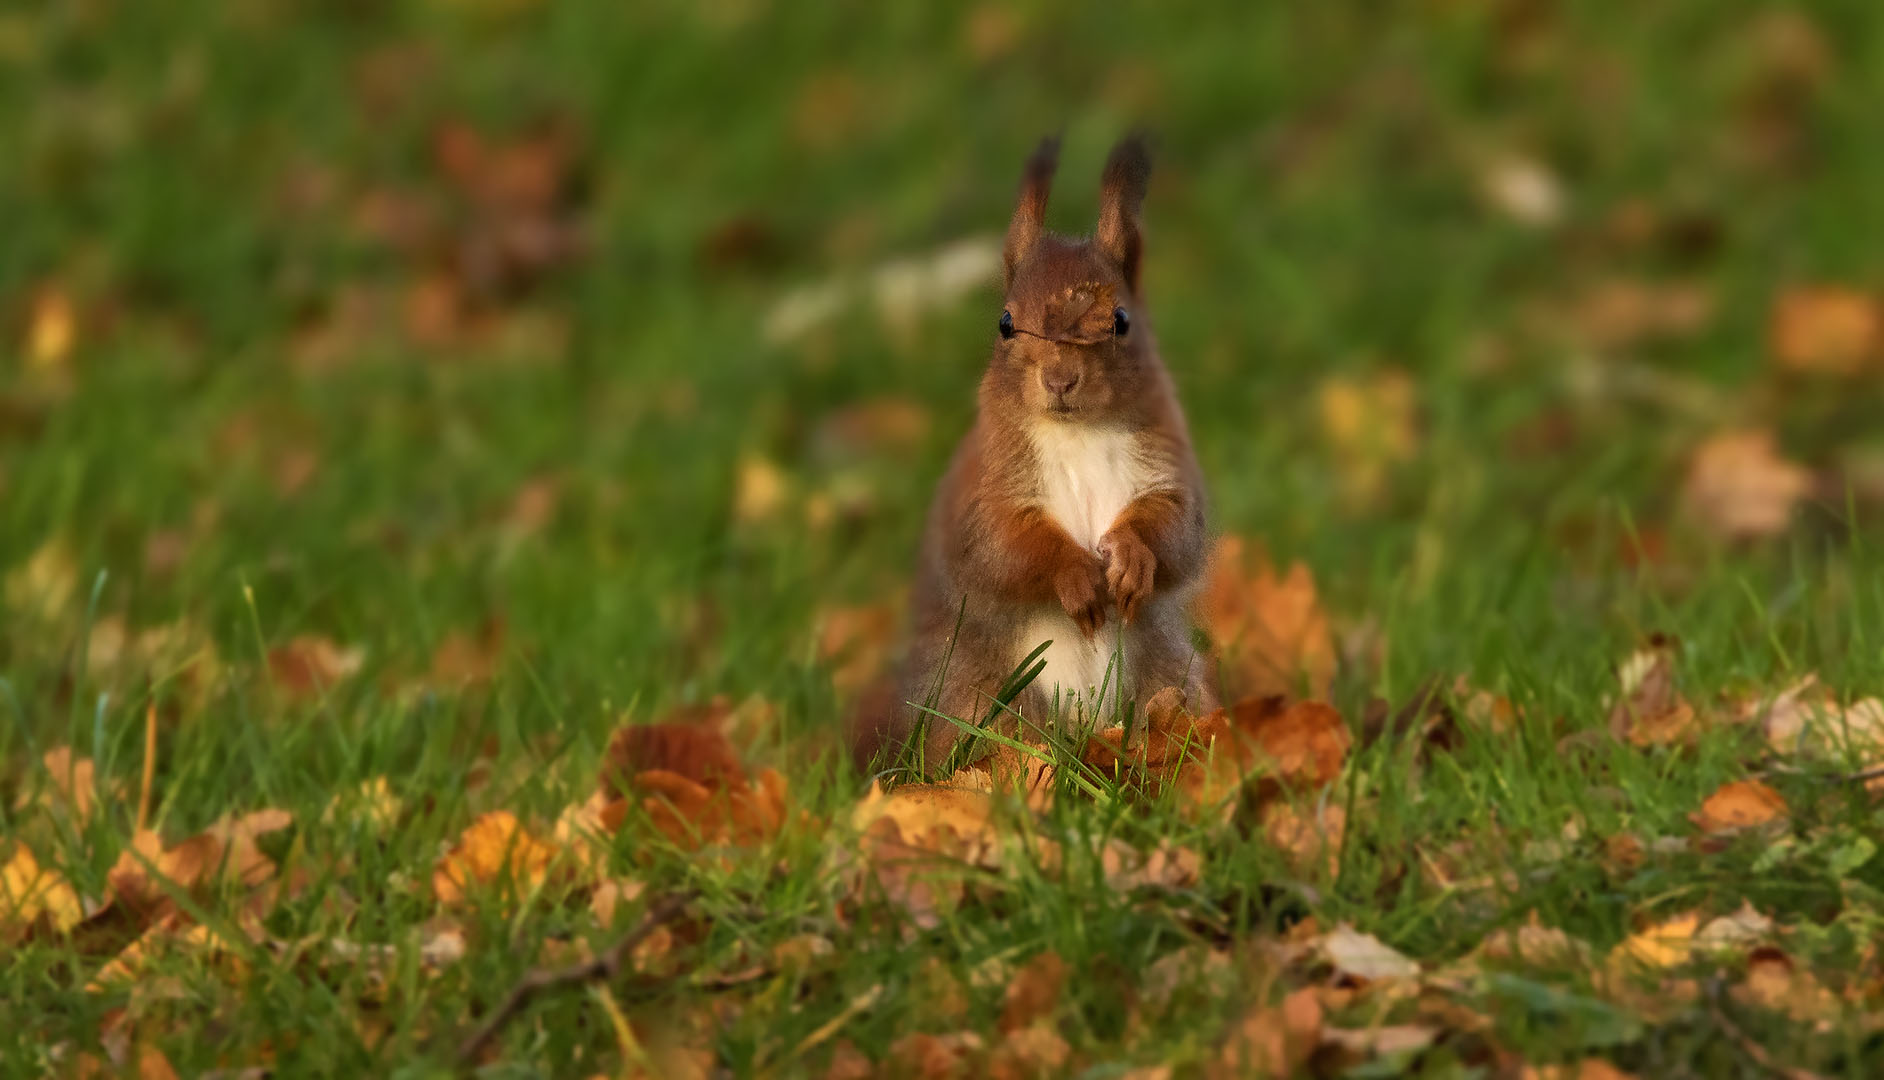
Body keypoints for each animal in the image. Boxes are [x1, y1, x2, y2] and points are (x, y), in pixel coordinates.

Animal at [859, 134, 1220, 769]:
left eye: (1121, 321)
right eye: (1006, 323)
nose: (1059, 380)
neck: (1079, 433)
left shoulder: (1167, 471)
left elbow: (1177, 533)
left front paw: (1130, 556)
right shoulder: (985, 487)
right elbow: (1003, 546)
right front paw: (1075, 573)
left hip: (1168, 678)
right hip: (981, 699)